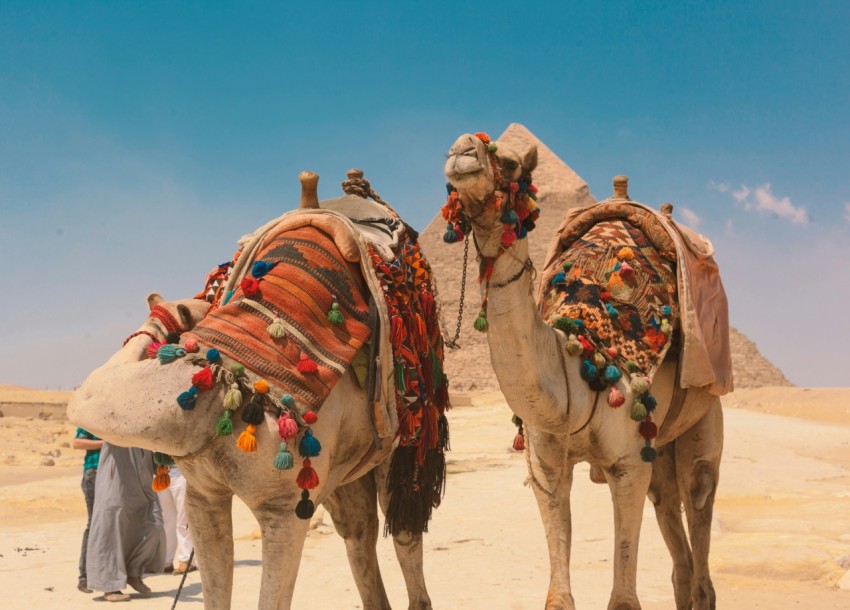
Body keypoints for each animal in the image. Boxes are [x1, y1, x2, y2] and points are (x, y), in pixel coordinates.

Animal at [68, 173, 442, 610]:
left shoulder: (284, 508)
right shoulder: (203, 495)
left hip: (405, 438)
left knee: (404, 527)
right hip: (345, 465)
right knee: (359, 530)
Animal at [442, 133, 726, 610]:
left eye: (512, 163)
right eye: (449, 152)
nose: (461, 151)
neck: (580, 363)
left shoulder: (628, 464)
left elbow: (625, 599)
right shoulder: (545, 464)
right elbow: (558, 596)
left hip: (705, 414)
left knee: (699, 495)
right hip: (659, 445)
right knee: (671, 516)